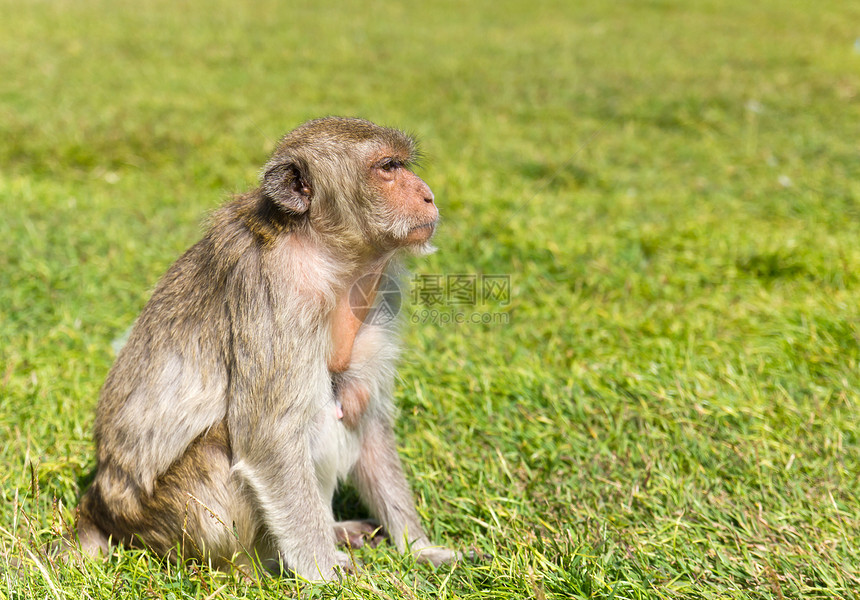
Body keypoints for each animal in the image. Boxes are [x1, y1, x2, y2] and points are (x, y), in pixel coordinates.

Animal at [74, 117, 456, 580]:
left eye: (402, 164)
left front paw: (419, 548)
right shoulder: (279, 293)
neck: (322, 251)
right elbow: (268, 436)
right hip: (185, 524)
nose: (428, 195)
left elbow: (368, 419)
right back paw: (258, 569)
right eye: (387, 168)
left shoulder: (380, 295)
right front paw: (326, 575)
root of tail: (102, 509)